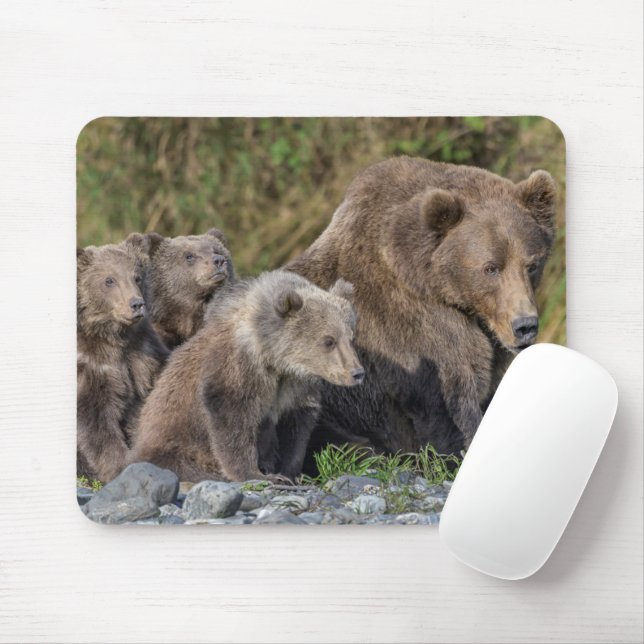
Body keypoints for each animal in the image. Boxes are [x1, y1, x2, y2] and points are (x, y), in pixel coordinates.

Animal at [77, 239, 169, 483]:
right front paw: (118, 466)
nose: (136, 304)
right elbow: (97, 422)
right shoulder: (91, 368)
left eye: (137, 277)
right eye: (109, 280)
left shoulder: (142, 354)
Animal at [129, 271, 363, 483]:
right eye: (329, 340)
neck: (275, 359)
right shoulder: (239, 368)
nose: (357, 373)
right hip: (173, 445)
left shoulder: (295, 387)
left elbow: (295, 429)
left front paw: (289, 472)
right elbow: (233, 419)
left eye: (350, 337)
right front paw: (256, 474)